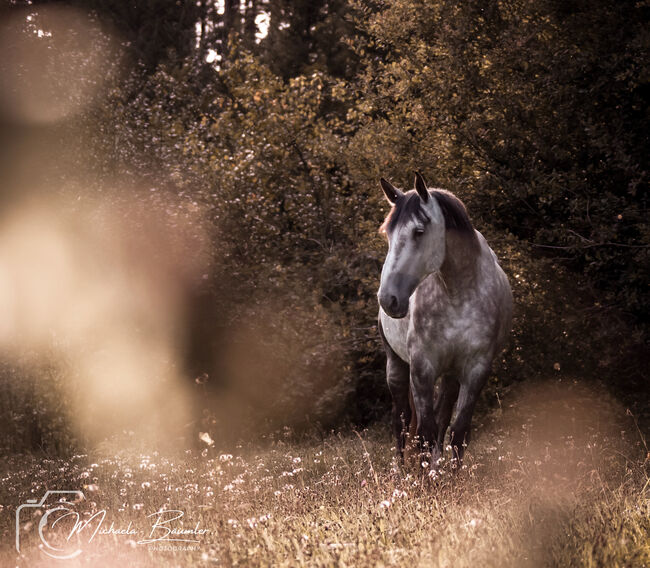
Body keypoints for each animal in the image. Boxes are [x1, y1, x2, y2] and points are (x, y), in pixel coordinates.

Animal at [374, 173, 512, 470]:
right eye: (388, 234)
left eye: (419, 232)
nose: (388, 299)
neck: (458, 291)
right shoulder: (422, 368)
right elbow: (424, 433)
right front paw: (425, 479)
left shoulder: (476, 369)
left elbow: (457, 432)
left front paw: (450, 478)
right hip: (396, 364)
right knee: (401, 421)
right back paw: (403, 471)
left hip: (450, 375)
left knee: (441, 416)